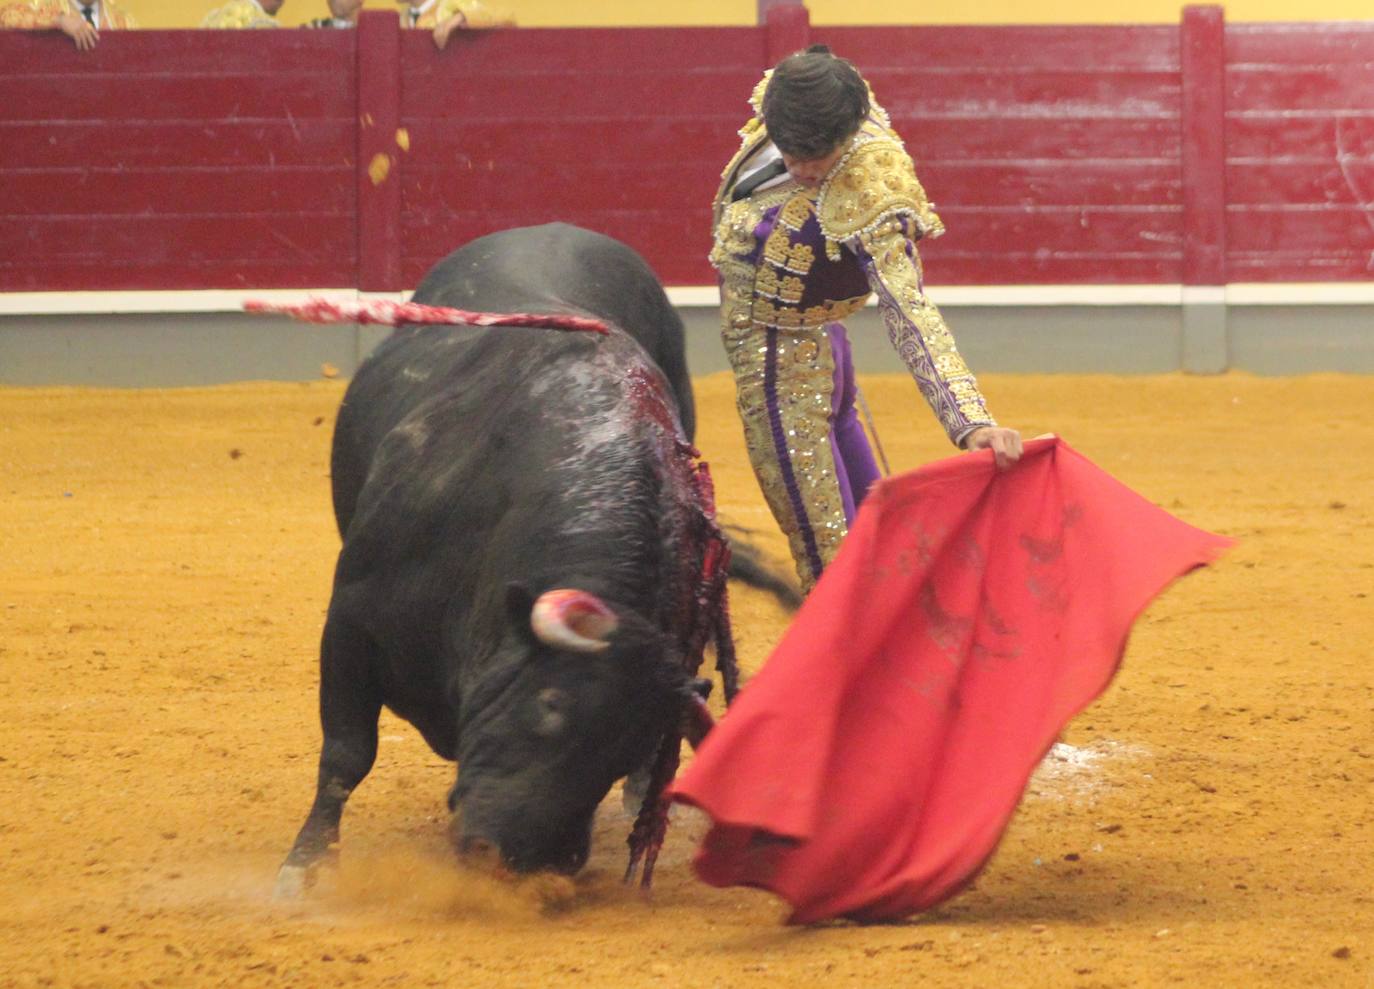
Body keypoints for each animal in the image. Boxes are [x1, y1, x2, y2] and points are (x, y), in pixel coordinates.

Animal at [276, 226, 741, 895]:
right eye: (548, 708)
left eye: (625, 751)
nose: (519, 857)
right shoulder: (349, 623)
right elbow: (346, 753)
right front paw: (305, 868)